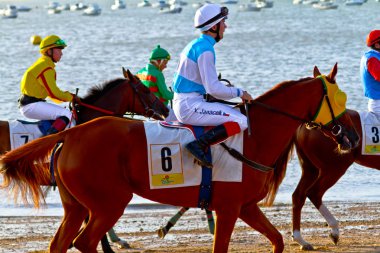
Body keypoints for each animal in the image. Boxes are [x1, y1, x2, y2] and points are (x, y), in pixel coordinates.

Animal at [0, 63, 360, 253]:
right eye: (341, 99)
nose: (354, 137)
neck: (254, 137)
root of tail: (72, 134)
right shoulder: (229, 209)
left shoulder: (245, 207)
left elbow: (277, 240)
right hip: (108, 204)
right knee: (86, 240)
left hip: (76, 206)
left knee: (61, 243)